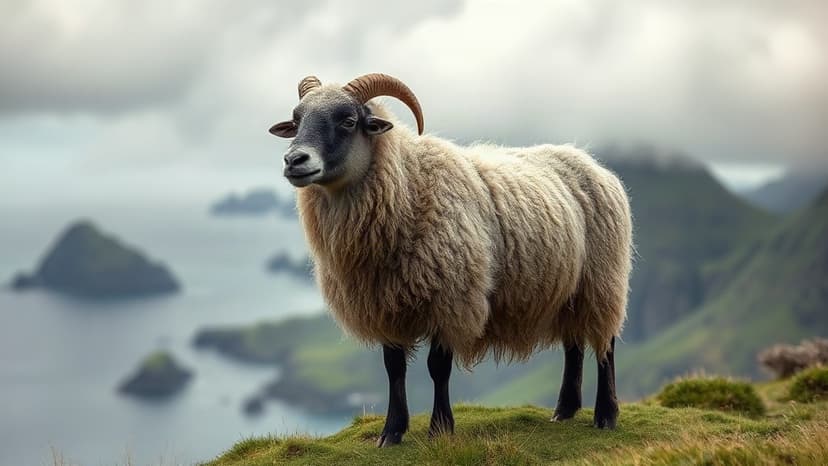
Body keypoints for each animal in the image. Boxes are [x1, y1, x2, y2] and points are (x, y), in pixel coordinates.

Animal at [268, 73, 633, 446]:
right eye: (297, 121)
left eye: (348, 121)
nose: (294, 160)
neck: (408, 186)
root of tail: (588, 160)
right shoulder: (385, 305)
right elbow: (393, 368)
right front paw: (392, 432)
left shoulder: (451, 299)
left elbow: (437, 367)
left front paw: (440, 428)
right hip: (570, 290)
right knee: (574, 344)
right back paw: (565, 410)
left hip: (603, 278)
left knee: (606, 345)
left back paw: (606, 414)